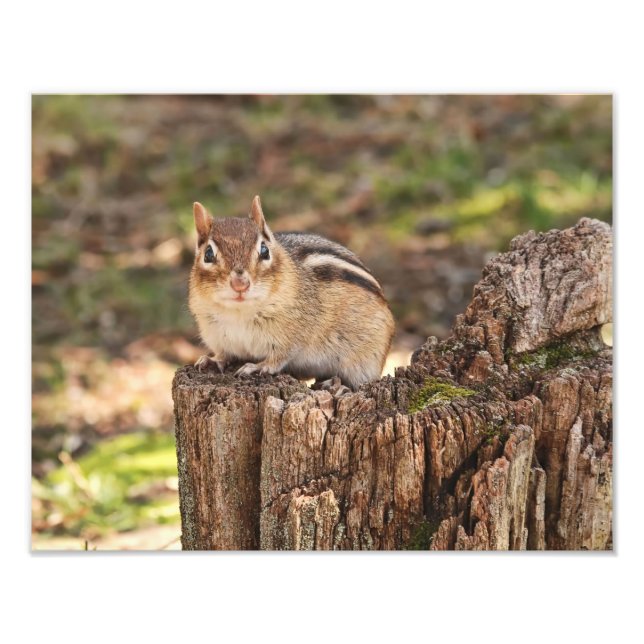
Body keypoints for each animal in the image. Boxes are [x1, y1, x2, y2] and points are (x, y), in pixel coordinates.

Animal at [188, 196, 395, 391]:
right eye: (208, 254)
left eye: (264, 250)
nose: (240, 284)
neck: (239, 313)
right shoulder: (217, 336)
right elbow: (224, 354)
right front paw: (212, 360)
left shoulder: (290, 336)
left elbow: (279, 357)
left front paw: (258, 366)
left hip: (365, 361)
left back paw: (339, 386)